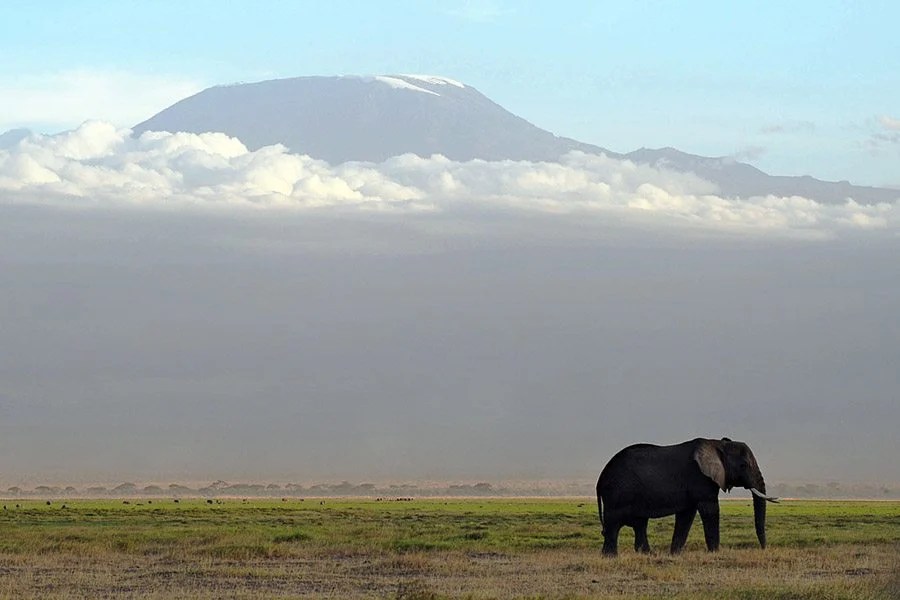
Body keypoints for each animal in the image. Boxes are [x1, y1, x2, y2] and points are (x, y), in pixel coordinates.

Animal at [595, 437, 778, 555]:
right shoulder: (700, 478)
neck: (718, 444)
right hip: (617, 492)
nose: (763, 549)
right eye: (743, 465)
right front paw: (715, 553)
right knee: (614, 524)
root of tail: (600, 478)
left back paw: (647, 554)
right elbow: (710, 509)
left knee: (639, 524)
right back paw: (610, 557)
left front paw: (675, 554)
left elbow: (686, 515)